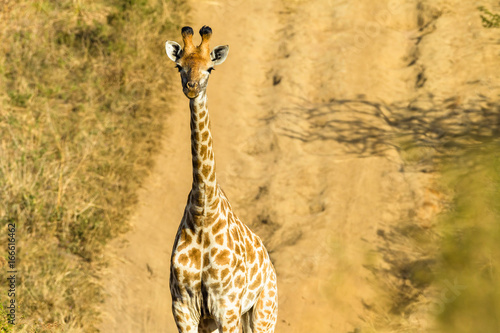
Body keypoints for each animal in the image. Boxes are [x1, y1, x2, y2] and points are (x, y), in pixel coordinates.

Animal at [166, 26, 280, 332]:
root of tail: (269, 263)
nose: (191, 87)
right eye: (179, 66)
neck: (203, 212)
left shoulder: (226, 307)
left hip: (263, 312)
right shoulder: (184, 308)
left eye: (210, 68)